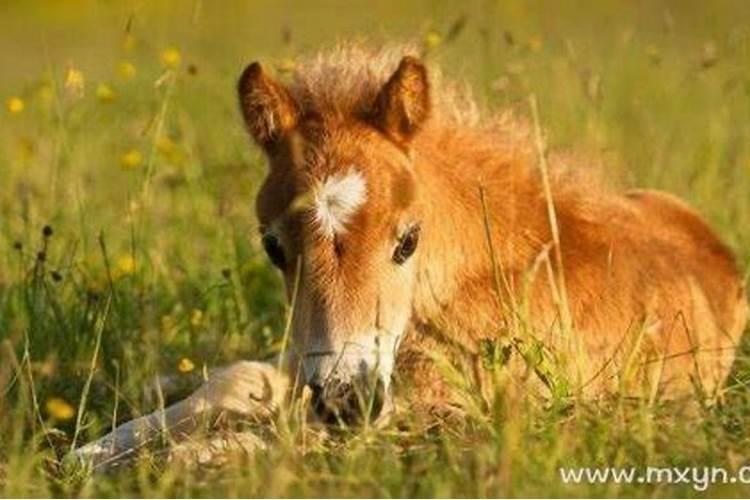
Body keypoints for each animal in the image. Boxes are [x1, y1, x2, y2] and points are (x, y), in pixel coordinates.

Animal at [76, 44, 748, 468]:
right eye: (272, 246)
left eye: (407, 240)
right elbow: (239, 381)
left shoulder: (439, 416)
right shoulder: (315, 364)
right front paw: (90, 454)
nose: (346, 397)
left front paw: (165, 463)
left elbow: (275, 443)